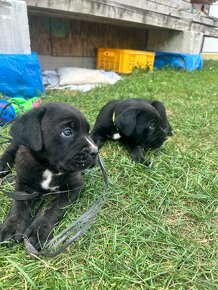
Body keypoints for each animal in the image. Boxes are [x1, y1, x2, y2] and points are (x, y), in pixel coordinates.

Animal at [0, 102, 98, 249]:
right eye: (67, 132)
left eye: (87, 131)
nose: (95, 151)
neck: (48, 168)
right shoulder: (23, 184)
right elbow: (19, 205)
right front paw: (12, 226)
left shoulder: (73, 187)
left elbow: (52, 208)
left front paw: (38, 231)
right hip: (17, 142)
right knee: (11, 149)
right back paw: (2, 165)